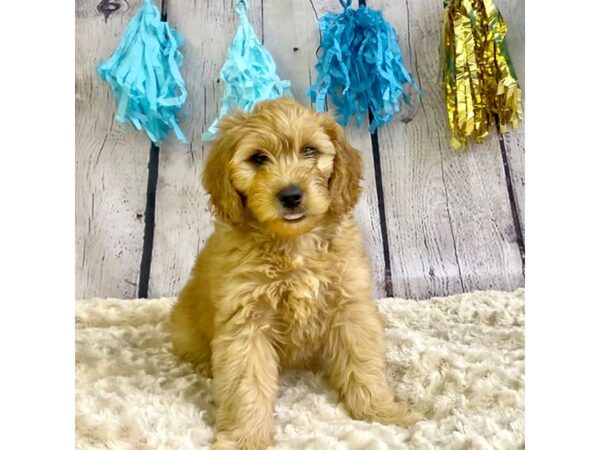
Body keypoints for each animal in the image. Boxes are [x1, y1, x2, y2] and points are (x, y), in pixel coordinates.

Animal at [171, 96, 420, 448]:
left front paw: (382, 413)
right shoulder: (246, 324)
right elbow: (245, 386)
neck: (294, 245)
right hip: (184, 325)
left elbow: (363, 365)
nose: (290, 195)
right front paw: (245, 438)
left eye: (310, 151)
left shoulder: (350, 308)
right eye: (258, 158)